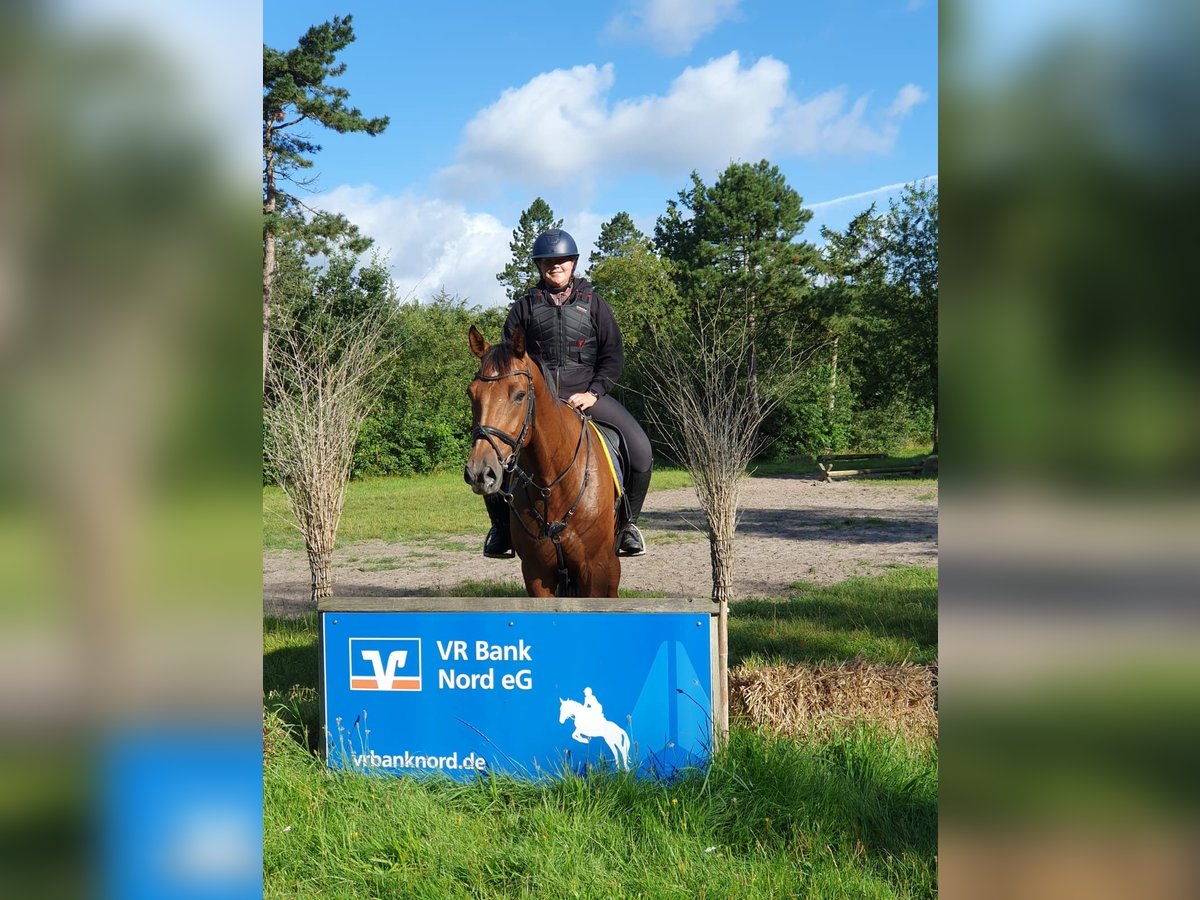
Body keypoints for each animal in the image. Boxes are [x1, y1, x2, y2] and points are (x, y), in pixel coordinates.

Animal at [463, 326, 624, 600]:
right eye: (471, 393)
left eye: (519, 395)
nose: (479, 472)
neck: (552, 483)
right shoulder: (536, 573)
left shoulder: (596, 570)